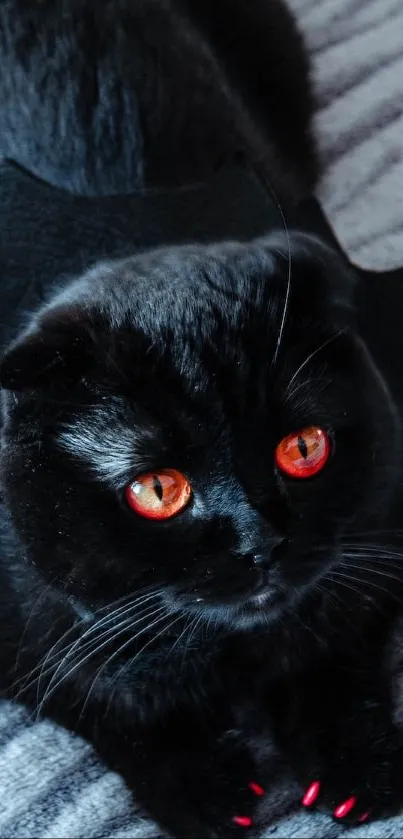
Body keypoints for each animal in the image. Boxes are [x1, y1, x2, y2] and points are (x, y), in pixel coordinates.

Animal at [0, 1, 403, 839]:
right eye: (157, 489)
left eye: (303, 447)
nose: (260, 542)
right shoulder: (27, 633)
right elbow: (101, 697)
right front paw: (203, 790)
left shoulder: (379, 527)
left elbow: (340, 644)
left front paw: (355, 765)